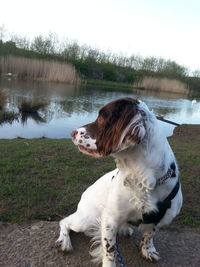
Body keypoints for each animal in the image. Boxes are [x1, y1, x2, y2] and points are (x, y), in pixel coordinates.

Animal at [55, 98, 182, 267]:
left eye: (102, 118)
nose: (72, 133)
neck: (143, 179)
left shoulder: (160, 219)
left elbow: (149, 235)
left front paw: (148, 250)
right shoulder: (110, 219)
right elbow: (110, 250)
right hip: (87, 218)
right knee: (65, 221)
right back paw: (64, 241)